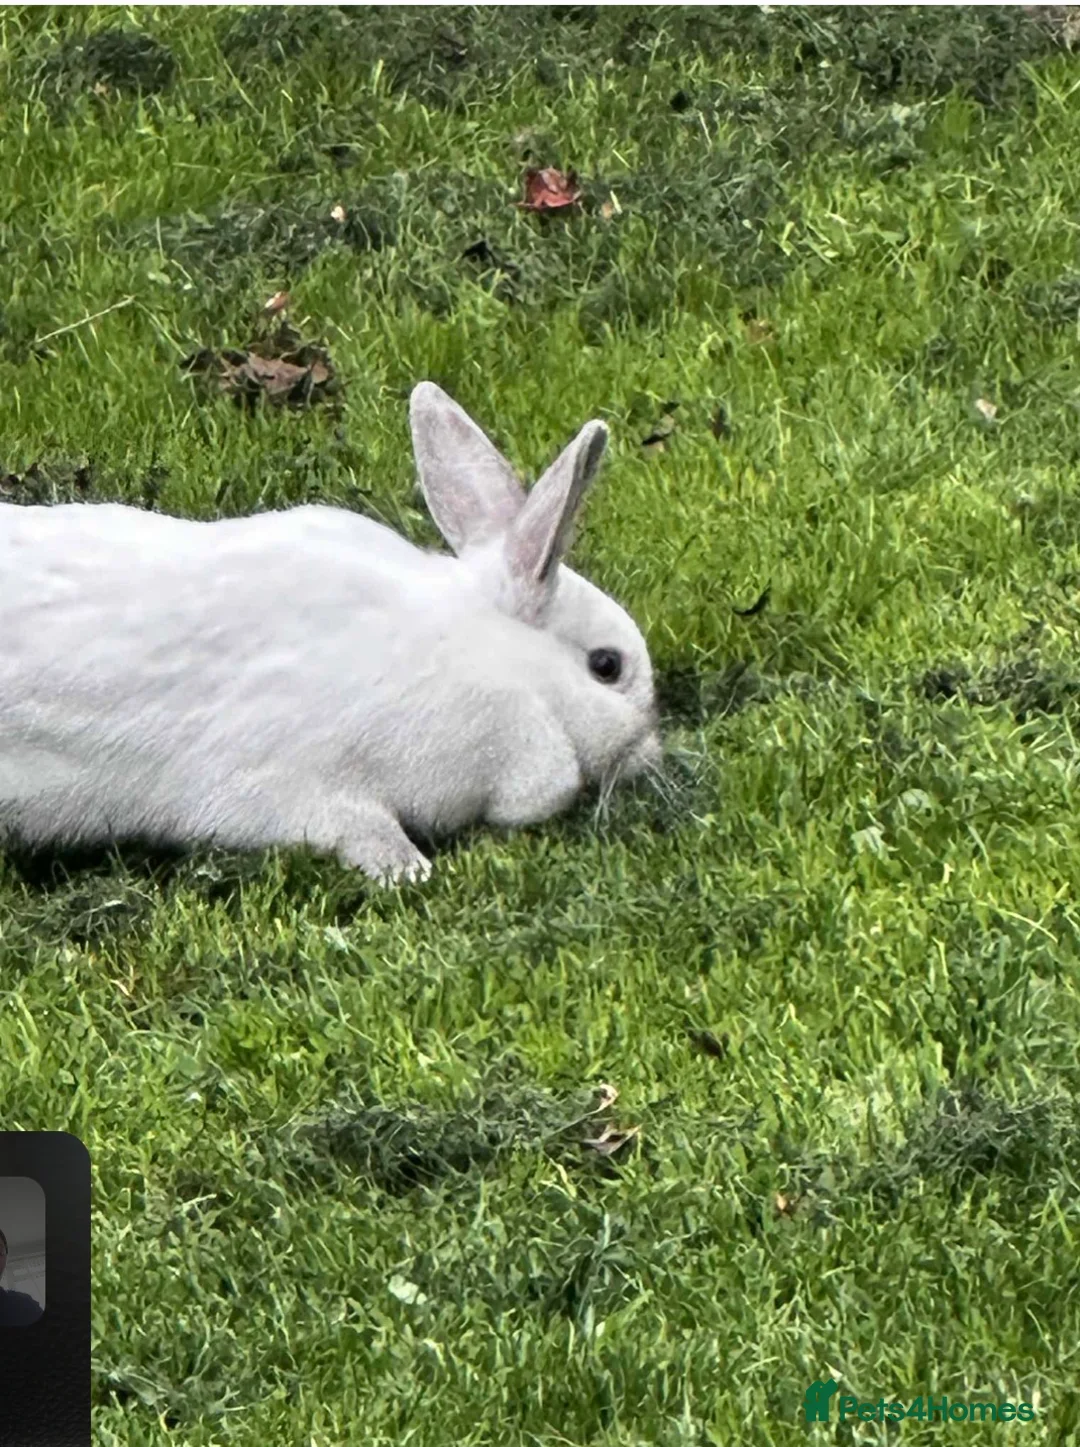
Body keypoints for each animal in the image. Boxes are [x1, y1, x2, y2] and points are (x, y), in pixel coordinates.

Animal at [0, 382, 662, 882]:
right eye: (607, 665)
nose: (649, 756)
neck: (484, 657)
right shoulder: (294, 785)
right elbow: (357, 826)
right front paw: (408, 871)